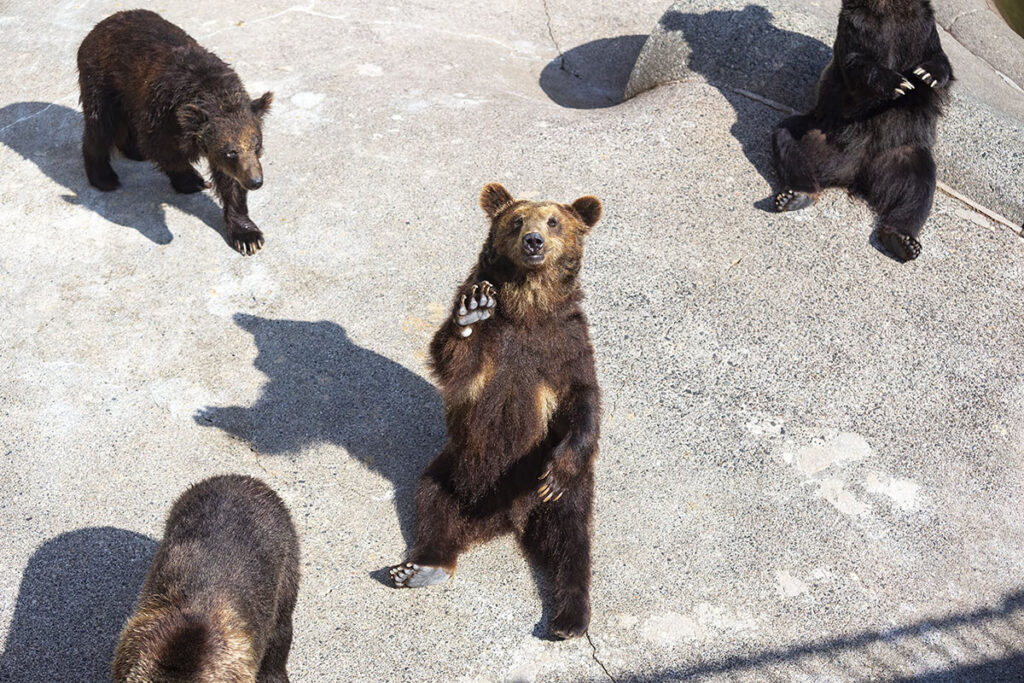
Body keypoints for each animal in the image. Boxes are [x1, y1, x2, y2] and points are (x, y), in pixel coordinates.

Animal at [78, 10, 274, 255]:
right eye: (230, 152)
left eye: (257, 145)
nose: (256, 181)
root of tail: (102, 24)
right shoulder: (161, 116)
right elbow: (162, 150)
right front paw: (193, 180)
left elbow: (231, 184)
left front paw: (247, 236)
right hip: (103, 80)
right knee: (100, 125)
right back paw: (103, 176)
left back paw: (133, 151)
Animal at [389, 181, 598, 643]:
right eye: (516, 220)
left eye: (553, 221)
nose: (533, 241)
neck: (528, 309)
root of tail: (505, 519)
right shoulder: (493, 352)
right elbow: (454, 358)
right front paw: (472, 310)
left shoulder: (567, 343)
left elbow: (582, 400)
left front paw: (558, 470)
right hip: (454, 471)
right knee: (433, 505)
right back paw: (422, 567)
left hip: (552, 488)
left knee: (572, 538)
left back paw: (568, 618)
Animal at [774, 0, 950, 262]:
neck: (891, 9)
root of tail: (855, 172)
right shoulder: (857, 30)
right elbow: (857, 65)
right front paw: (896, 82)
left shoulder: (921, 30)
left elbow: (938, 60)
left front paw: (926, 74)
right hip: (822, 134)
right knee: (787, 138)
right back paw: (796, 195)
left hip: (901, 153)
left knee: (919, 188)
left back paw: (902, 240)